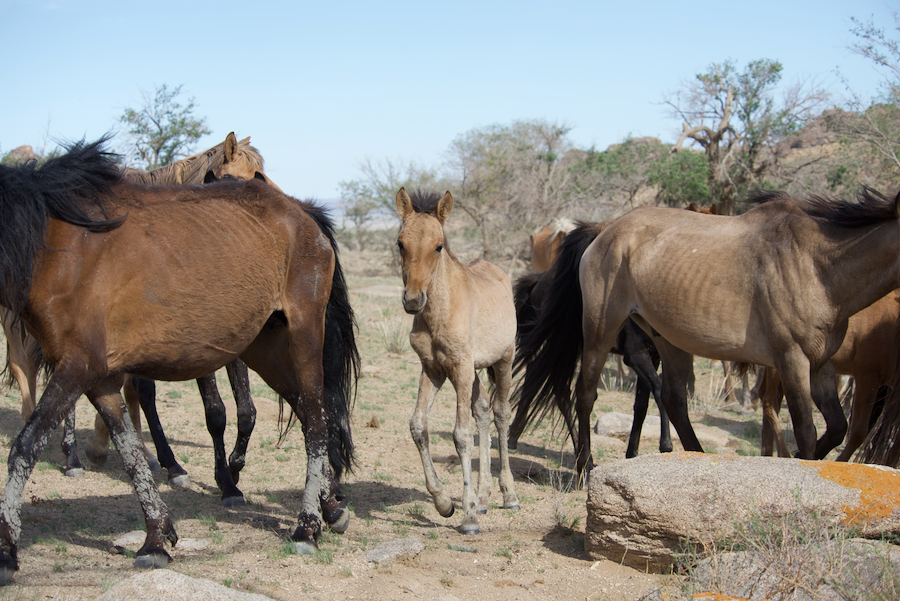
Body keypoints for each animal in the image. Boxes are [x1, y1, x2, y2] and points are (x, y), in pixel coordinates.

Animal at [1, 132, 268, 505]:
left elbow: (247, 411)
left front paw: (233, 469)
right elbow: (214, 412)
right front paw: (224, 482)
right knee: (29, 369)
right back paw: (72, 457)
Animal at [395, 187, 519, 535]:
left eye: (438, 246)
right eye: (400, 243)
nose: (413, 300)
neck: (440, 311)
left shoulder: (460, 369)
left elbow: (461, 435)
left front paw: (468, 517)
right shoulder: (433, 369)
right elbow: (418, 426)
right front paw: (445, 503)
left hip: (503, 360)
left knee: (501, 414)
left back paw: (508, 494)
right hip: (474, 372)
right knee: (483, 412)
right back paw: (483, 497)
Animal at [511, 221, 672, 460]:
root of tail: (539, 281)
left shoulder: (653, 357)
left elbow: (642, 404)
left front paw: (632, 452)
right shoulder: (636, 355)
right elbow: (660, 391)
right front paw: (666, 444)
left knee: (537, 377)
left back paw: (514, 435)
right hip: (565, 347)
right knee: (558, 389)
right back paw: (583, 455)